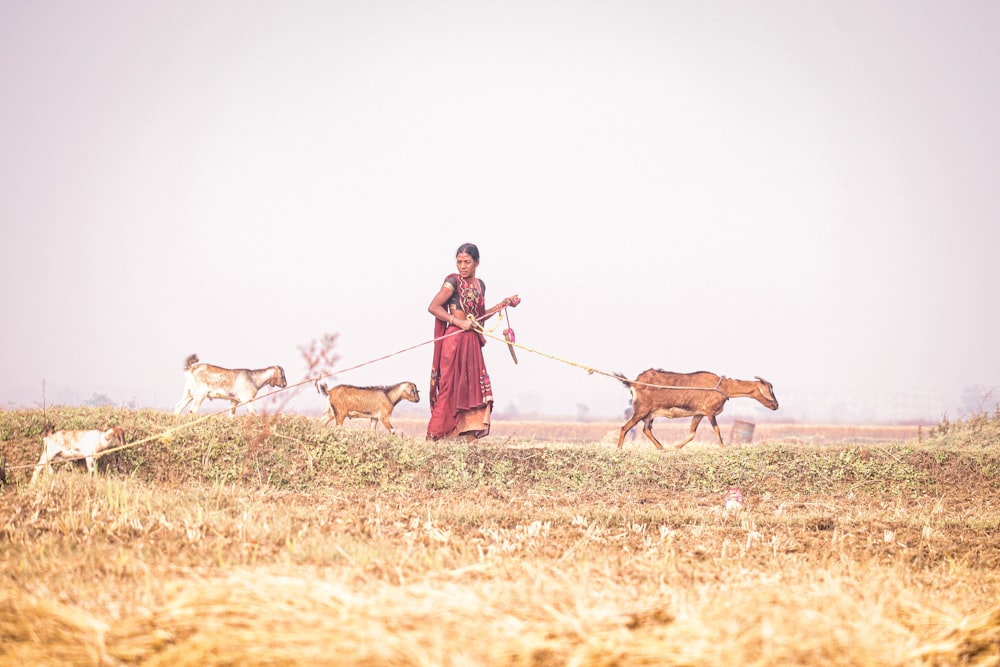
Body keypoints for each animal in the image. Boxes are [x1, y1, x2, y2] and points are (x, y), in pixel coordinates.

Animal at [612, 368, 776, 452]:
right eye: (769, 390)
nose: (776, 405)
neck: (724, 387)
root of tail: (634, 382)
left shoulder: (698, 414)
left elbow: (692, 434)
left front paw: (677, 446)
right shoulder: (709, 411)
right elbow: (717, 429)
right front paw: (723, 446)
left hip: (650, 413)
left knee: (646, 429)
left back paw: (661, 447)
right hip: (641, 410)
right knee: (625, 427)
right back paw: (619, 449)